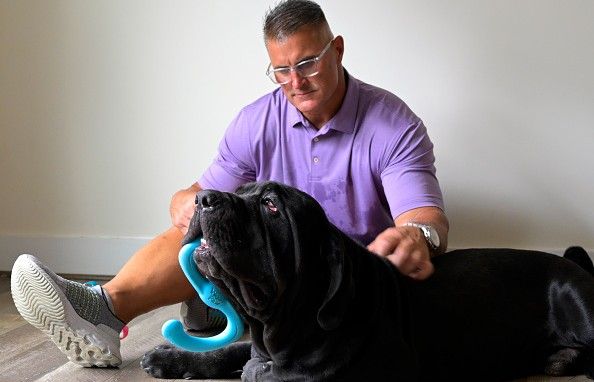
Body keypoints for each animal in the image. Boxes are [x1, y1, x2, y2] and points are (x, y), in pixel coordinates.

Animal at [142, 181, 592, 380]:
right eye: (241, 189)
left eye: (270, 205)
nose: (204, 198)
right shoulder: (257, 345)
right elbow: (231, 350)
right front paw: (172, 358)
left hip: (575, 298)